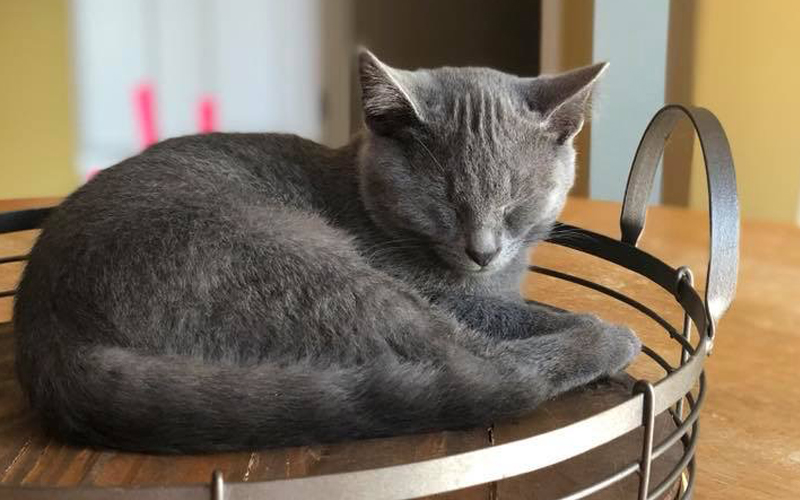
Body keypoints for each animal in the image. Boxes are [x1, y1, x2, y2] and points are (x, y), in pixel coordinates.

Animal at [12, 50, 640, 454]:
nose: (482, 249)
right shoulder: (441, 293)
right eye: (444, 200)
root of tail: (48, 337)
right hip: (305, 265)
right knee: (473, 361)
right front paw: (589, 324)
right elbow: (516, 315)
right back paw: (608, 341)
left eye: (516, 201)